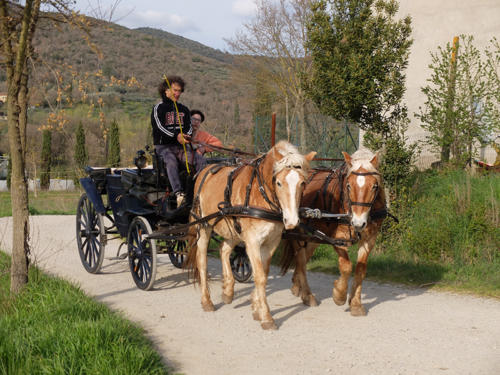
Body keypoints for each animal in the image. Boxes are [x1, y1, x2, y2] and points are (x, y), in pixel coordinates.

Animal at [184, 140, 316, 328]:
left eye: (303, 183)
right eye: (279, 183)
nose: (292, 221)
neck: (259, 193)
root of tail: (204, 170)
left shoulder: (271, 243)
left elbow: (264, 273)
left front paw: (256, 306)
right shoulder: (253, 241)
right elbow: (260, 276)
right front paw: (266, 316)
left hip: (233, 231)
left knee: (224, 249)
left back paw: (228, 291)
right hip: (204, 227)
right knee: (202, 262)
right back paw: (207, 301)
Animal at [282, 150, 386, 318]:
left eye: (374, 186)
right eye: (349, 185)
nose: (358, 223)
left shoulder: (370, 238)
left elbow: (360, 269)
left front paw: (355, 304)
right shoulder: (338, 238)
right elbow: (346, 267)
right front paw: (339, 294)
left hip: (314, 235)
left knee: (304, 256)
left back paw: (297, 287)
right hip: (297, 231)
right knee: (301, 259)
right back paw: (308, 295)